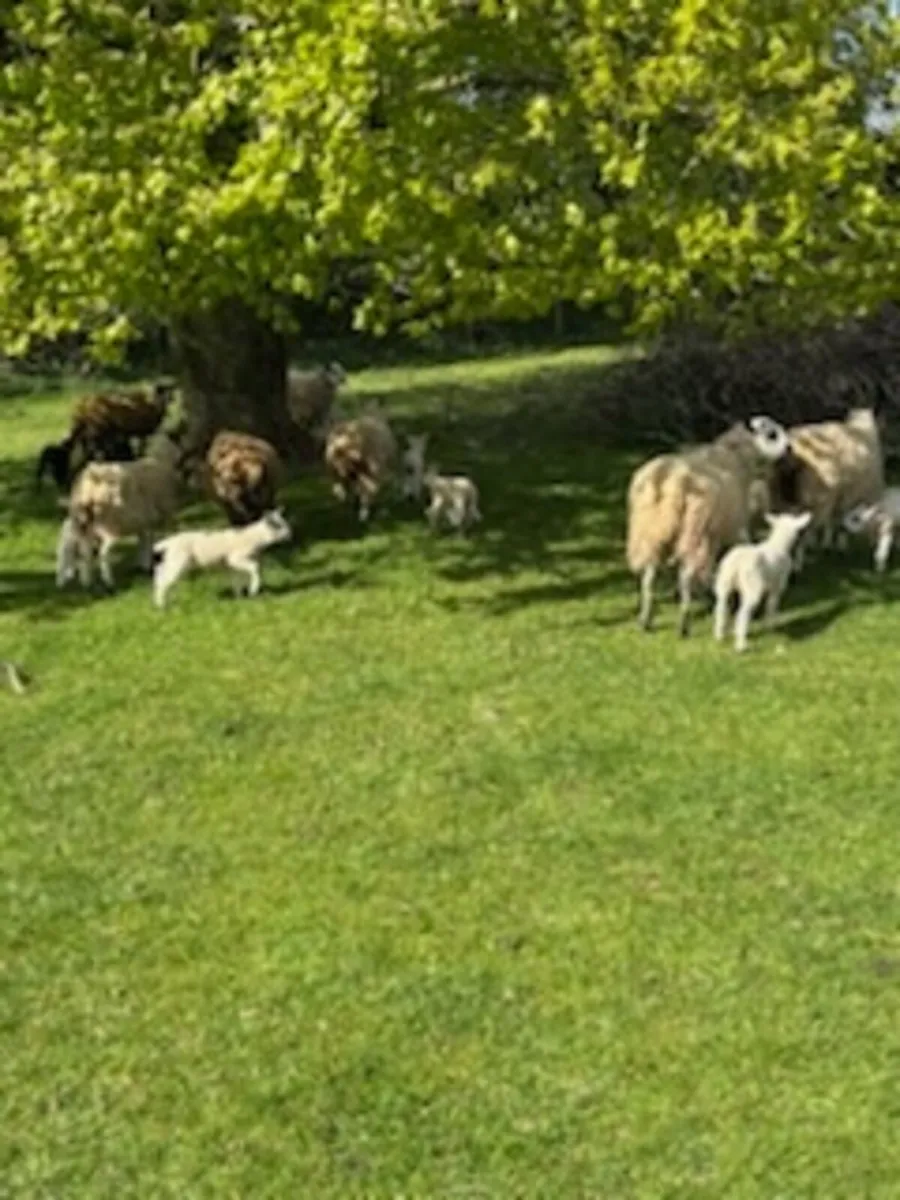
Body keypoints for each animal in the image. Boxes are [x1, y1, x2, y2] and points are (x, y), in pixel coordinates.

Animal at [65, 429, 188, 590]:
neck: (160, 459)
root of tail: (93, 477)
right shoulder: (166, 513)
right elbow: (158, 537)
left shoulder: (144, 521)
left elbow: (144, 540)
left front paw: (144, 565)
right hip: (111, 525)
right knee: (103, 553)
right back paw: (108, 581)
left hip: (84, 525)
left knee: (85, 552)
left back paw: (87, 582)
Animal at [152, 509, 292, 608]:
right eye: (278, 525)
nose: (290, 534)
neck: (253, 537)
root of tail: (166, 543)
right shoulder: (235, 558)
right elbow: (255, 568)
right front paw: (253, 590)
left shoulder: (231, 565)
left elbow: (236, 581)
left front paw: (239, 598)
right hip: (178, 563)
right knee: (164, 582)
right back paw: (161, 606)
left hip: (169, 562)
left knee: (159, 577)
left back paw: (160, 603)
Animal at [626, 417, 790, 636]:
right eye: (771, 434)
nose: (789, 448)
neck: (736, 455)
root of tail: (667, 479)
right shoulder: (733, 529)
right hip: (694, 531)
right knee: (685, 576)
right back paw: (684, 622)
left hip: (650, 533)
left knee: (649, 575)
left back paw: (646, 619)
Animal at [713, 511, 812, 652]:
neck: (778, 545)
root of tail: (737, 564)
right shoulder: (777, 586)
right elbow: (772, 605)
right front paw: (771, 626)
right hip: (752, 586)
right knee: (742, 614)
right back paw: (741, 645)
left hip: (724, 583)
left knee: (721, 607)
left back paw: (720, 635)